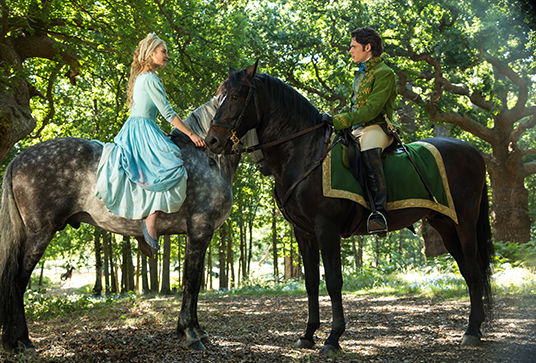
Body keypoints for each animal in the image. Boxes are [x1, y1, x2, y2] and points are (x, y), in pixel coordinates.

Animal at [0, 99, 245, 352]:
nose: (215, 140)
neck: (208, 158)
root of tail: (17, 160)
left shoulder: (199, 235)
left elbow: (193, 280)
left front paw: (194, 330)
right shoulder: (200, 230)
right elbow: (192, 281)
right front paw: (191, 333)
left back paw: (14, 341)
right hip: (39, 234)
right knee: (17, 282)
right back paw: (22, 340)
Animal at [205, 61, 494, 352]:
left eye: (235, 96)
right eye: (219, 95)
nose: (212, 141)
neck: (305, 153)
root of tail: (473, 152)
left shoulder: (326, 228)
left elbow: (333, 281)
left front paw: (333, 337)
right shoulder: (304, 233)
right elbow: (311, 282)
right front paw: (308, 334)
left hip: (464, 223)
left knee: (473, 269)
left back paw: (472, 330)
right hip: (445, 225)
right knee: (469, 271)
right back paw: (476, 326)